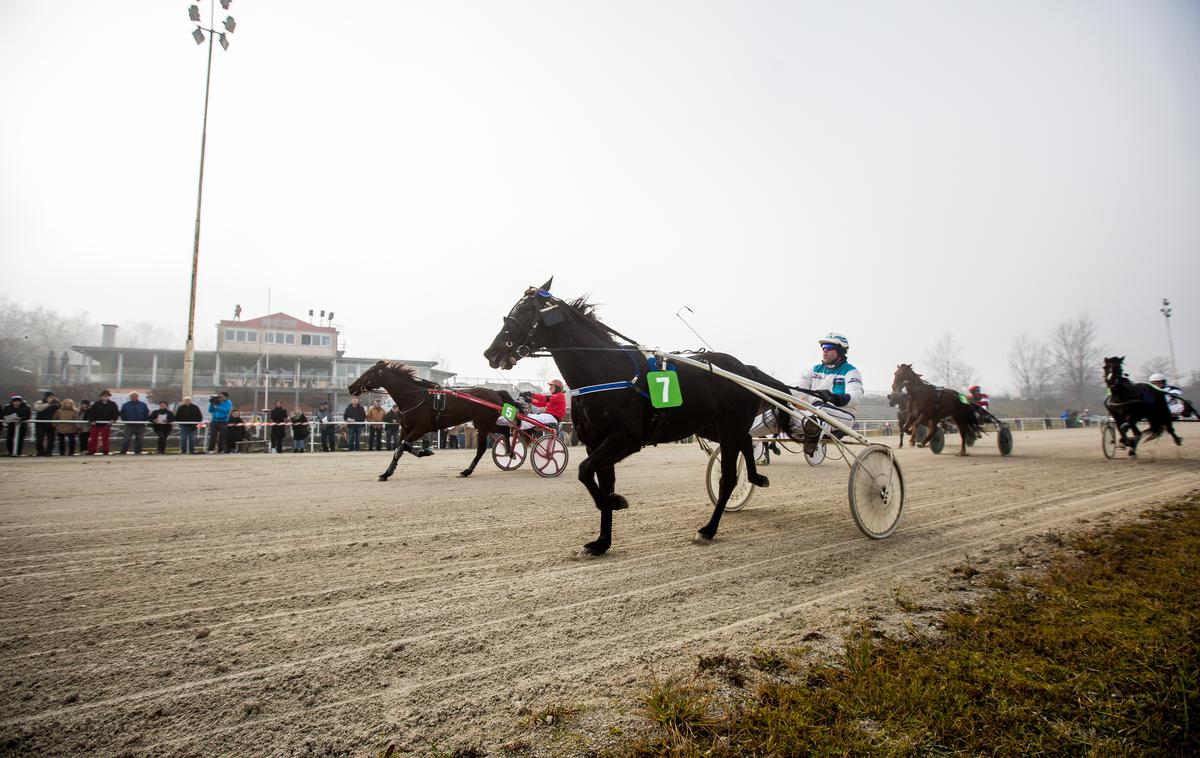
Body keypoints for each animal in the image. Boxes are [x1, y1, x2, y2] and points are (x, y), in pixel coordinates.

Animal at [345, 362, 518, 479]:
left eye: (368, 373)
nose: (351, 387)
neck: (413, 397)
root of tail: (496, 392)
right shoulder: (406, 428)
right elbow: (400, 448)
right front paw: (387, 473)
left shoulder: (422, 427)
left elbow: (402, 446)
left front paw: (423, 451)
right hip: (484, 424)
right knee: (505, 430)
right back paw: (510, 452)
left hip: (483, 425)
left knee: (482, 448)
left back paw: (467, 471)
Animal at [480, 278, 787, 556]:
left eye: (522, 311)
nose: (491, 352)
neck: (605, 371)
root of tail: (745, 369)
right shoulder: (595, 443)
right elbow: (595, 480)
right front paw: (601, 541)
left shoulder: (625, 439)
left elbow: (584, 471)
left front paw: (616, 501)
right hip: (712, 427)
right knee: (746, 441)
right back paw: (756, 477)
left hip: (728, 426)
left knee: (728, 478)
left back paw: (709, 529)